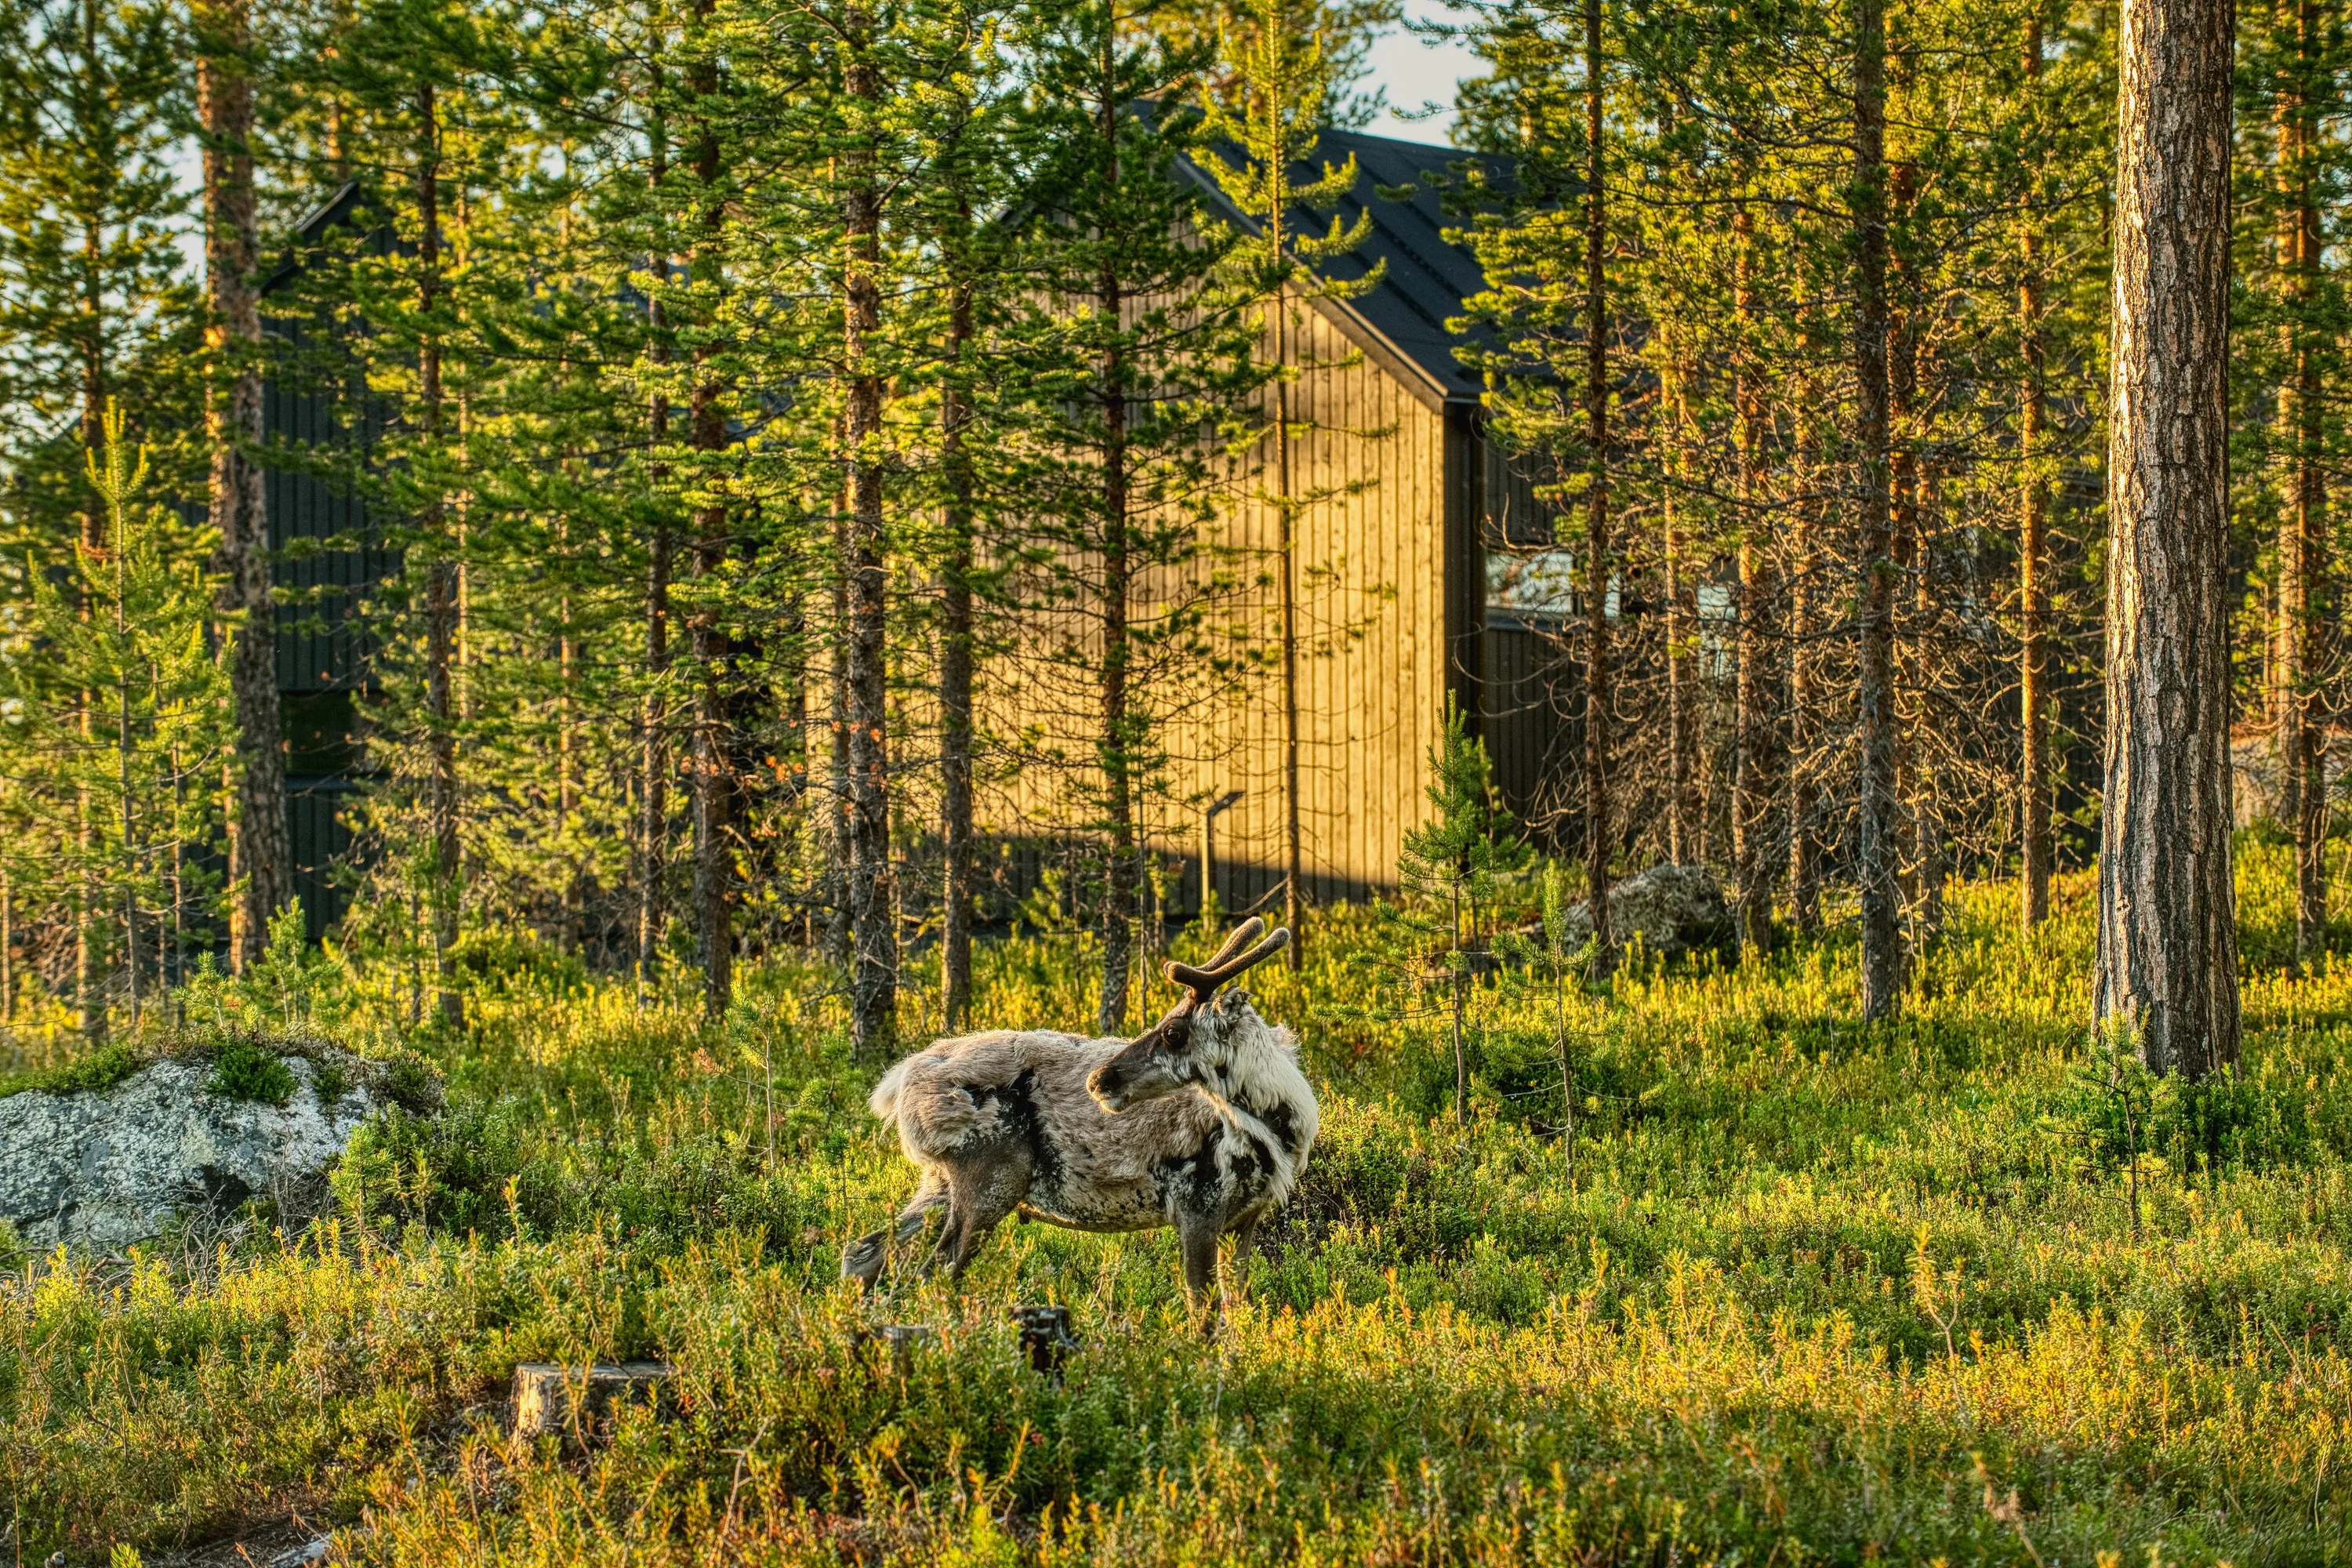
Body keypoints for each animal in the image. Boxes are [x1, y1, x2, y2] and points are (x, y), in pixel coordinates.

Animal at [843, 918, 1317, 1329]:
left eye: (1174, 1032)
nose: (1100, 1079)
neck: (1279, 1131)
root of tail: (899, 1082)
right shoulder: (1197, 1204)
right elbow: (1203, 1313)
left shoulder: (1245, 1217)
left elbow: (1238, 1308)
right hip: (989, 1178)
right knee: (935, 1271)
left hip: (938, 1184)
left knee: (866, 1251)